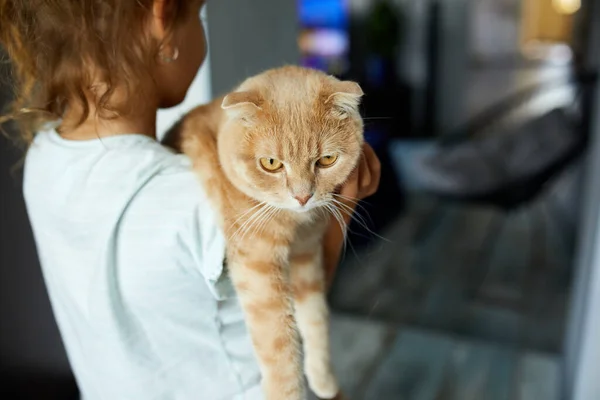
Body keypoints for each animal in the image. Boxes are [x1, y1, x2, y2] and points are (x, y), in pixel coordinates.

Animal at [163, 67, 366, 398]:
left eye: (326, 160)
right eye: (271, 163)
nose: (302, 196)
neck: (294, 224)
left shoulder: (307, 255)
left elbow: (316, 319)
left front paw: (323, 378)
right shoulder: (258, 268)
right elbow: (280, 348)